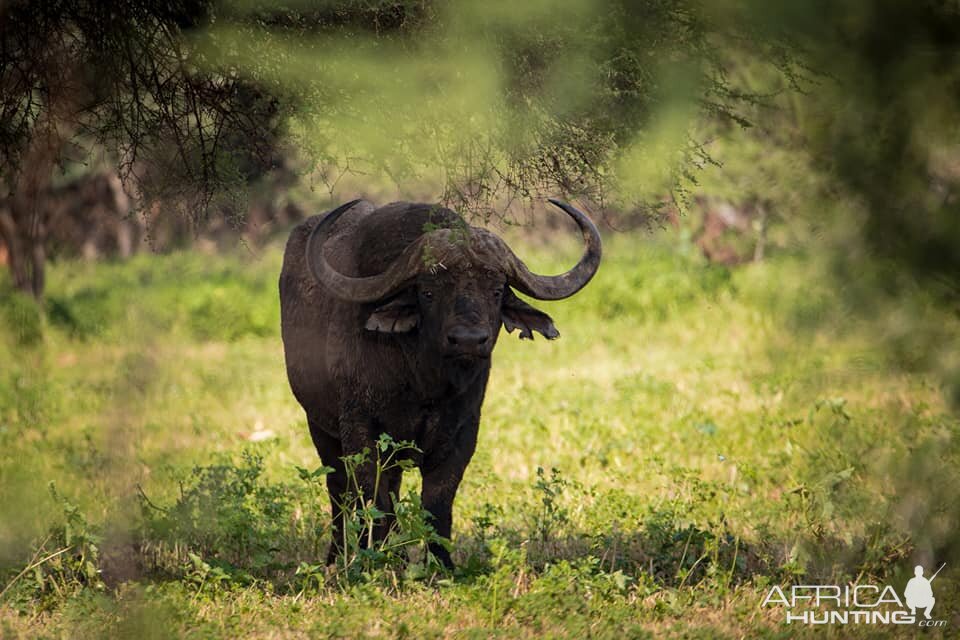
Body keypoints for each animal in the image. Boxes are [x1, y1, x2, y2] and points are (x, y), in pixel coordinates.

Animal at [278, 199, 600, 564]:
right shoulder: (359, 429)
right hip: (319, 426)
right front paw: (377, 560)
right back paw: (338, 557)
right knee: (338, 493)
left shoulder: (463, 431)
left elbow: (437, 502)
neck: (422, 382)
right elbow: (373, 500)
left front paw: (440, 564)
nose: (468, 340)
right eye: (428, 292)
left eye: (496, 290)